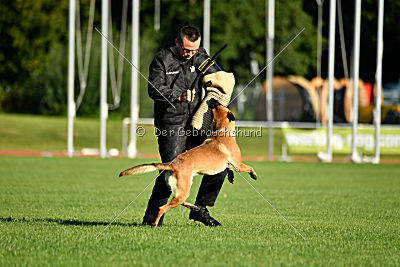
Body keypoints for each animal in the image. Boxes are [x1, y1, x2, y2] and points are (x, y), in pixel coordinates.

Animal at [119, 99, 258, 227]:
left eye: (217, 104)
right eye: (221, 104)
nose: (212, 100)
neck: (221, 130)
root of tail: (172, 164)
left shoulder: (228, 163)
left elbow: (229, 166)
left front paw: (231, 176)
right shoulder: (239, 165)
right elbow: (249, 167)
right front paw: (253, 175)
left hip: (180, 189)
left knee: (177, 201)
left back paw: (194, 207)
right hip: (183, 190)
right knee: (162, 208)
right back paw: (155, 224)